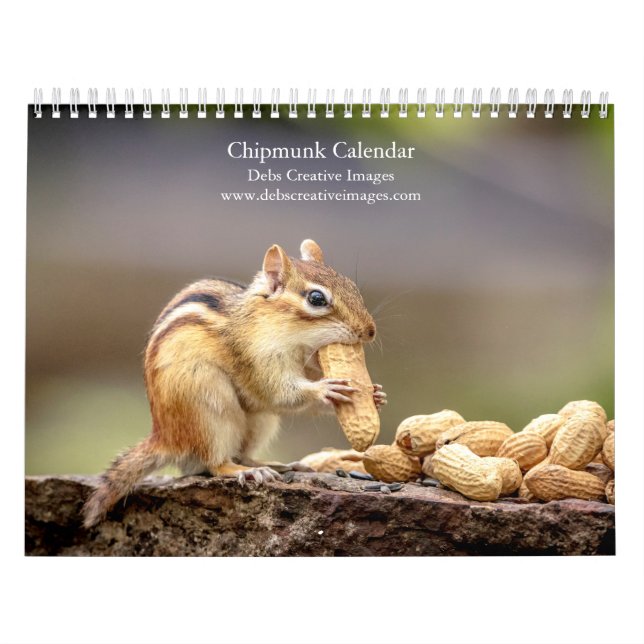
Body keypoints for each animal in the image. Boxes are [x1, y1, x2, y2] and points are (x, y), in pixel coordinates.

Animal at [82, 239, 386, 528]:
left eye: (352, 287)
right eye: (316, 298)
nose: (370, 331)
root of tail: (165, 438)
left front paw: (376, 394)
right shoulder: (256, 359)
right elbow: (280, 393)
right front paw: (326, 389)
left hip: (260, 421)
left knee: (243, 452)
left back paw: (275, 465)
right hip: (209, 408)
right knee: (216, 464)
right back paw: (246, 471)